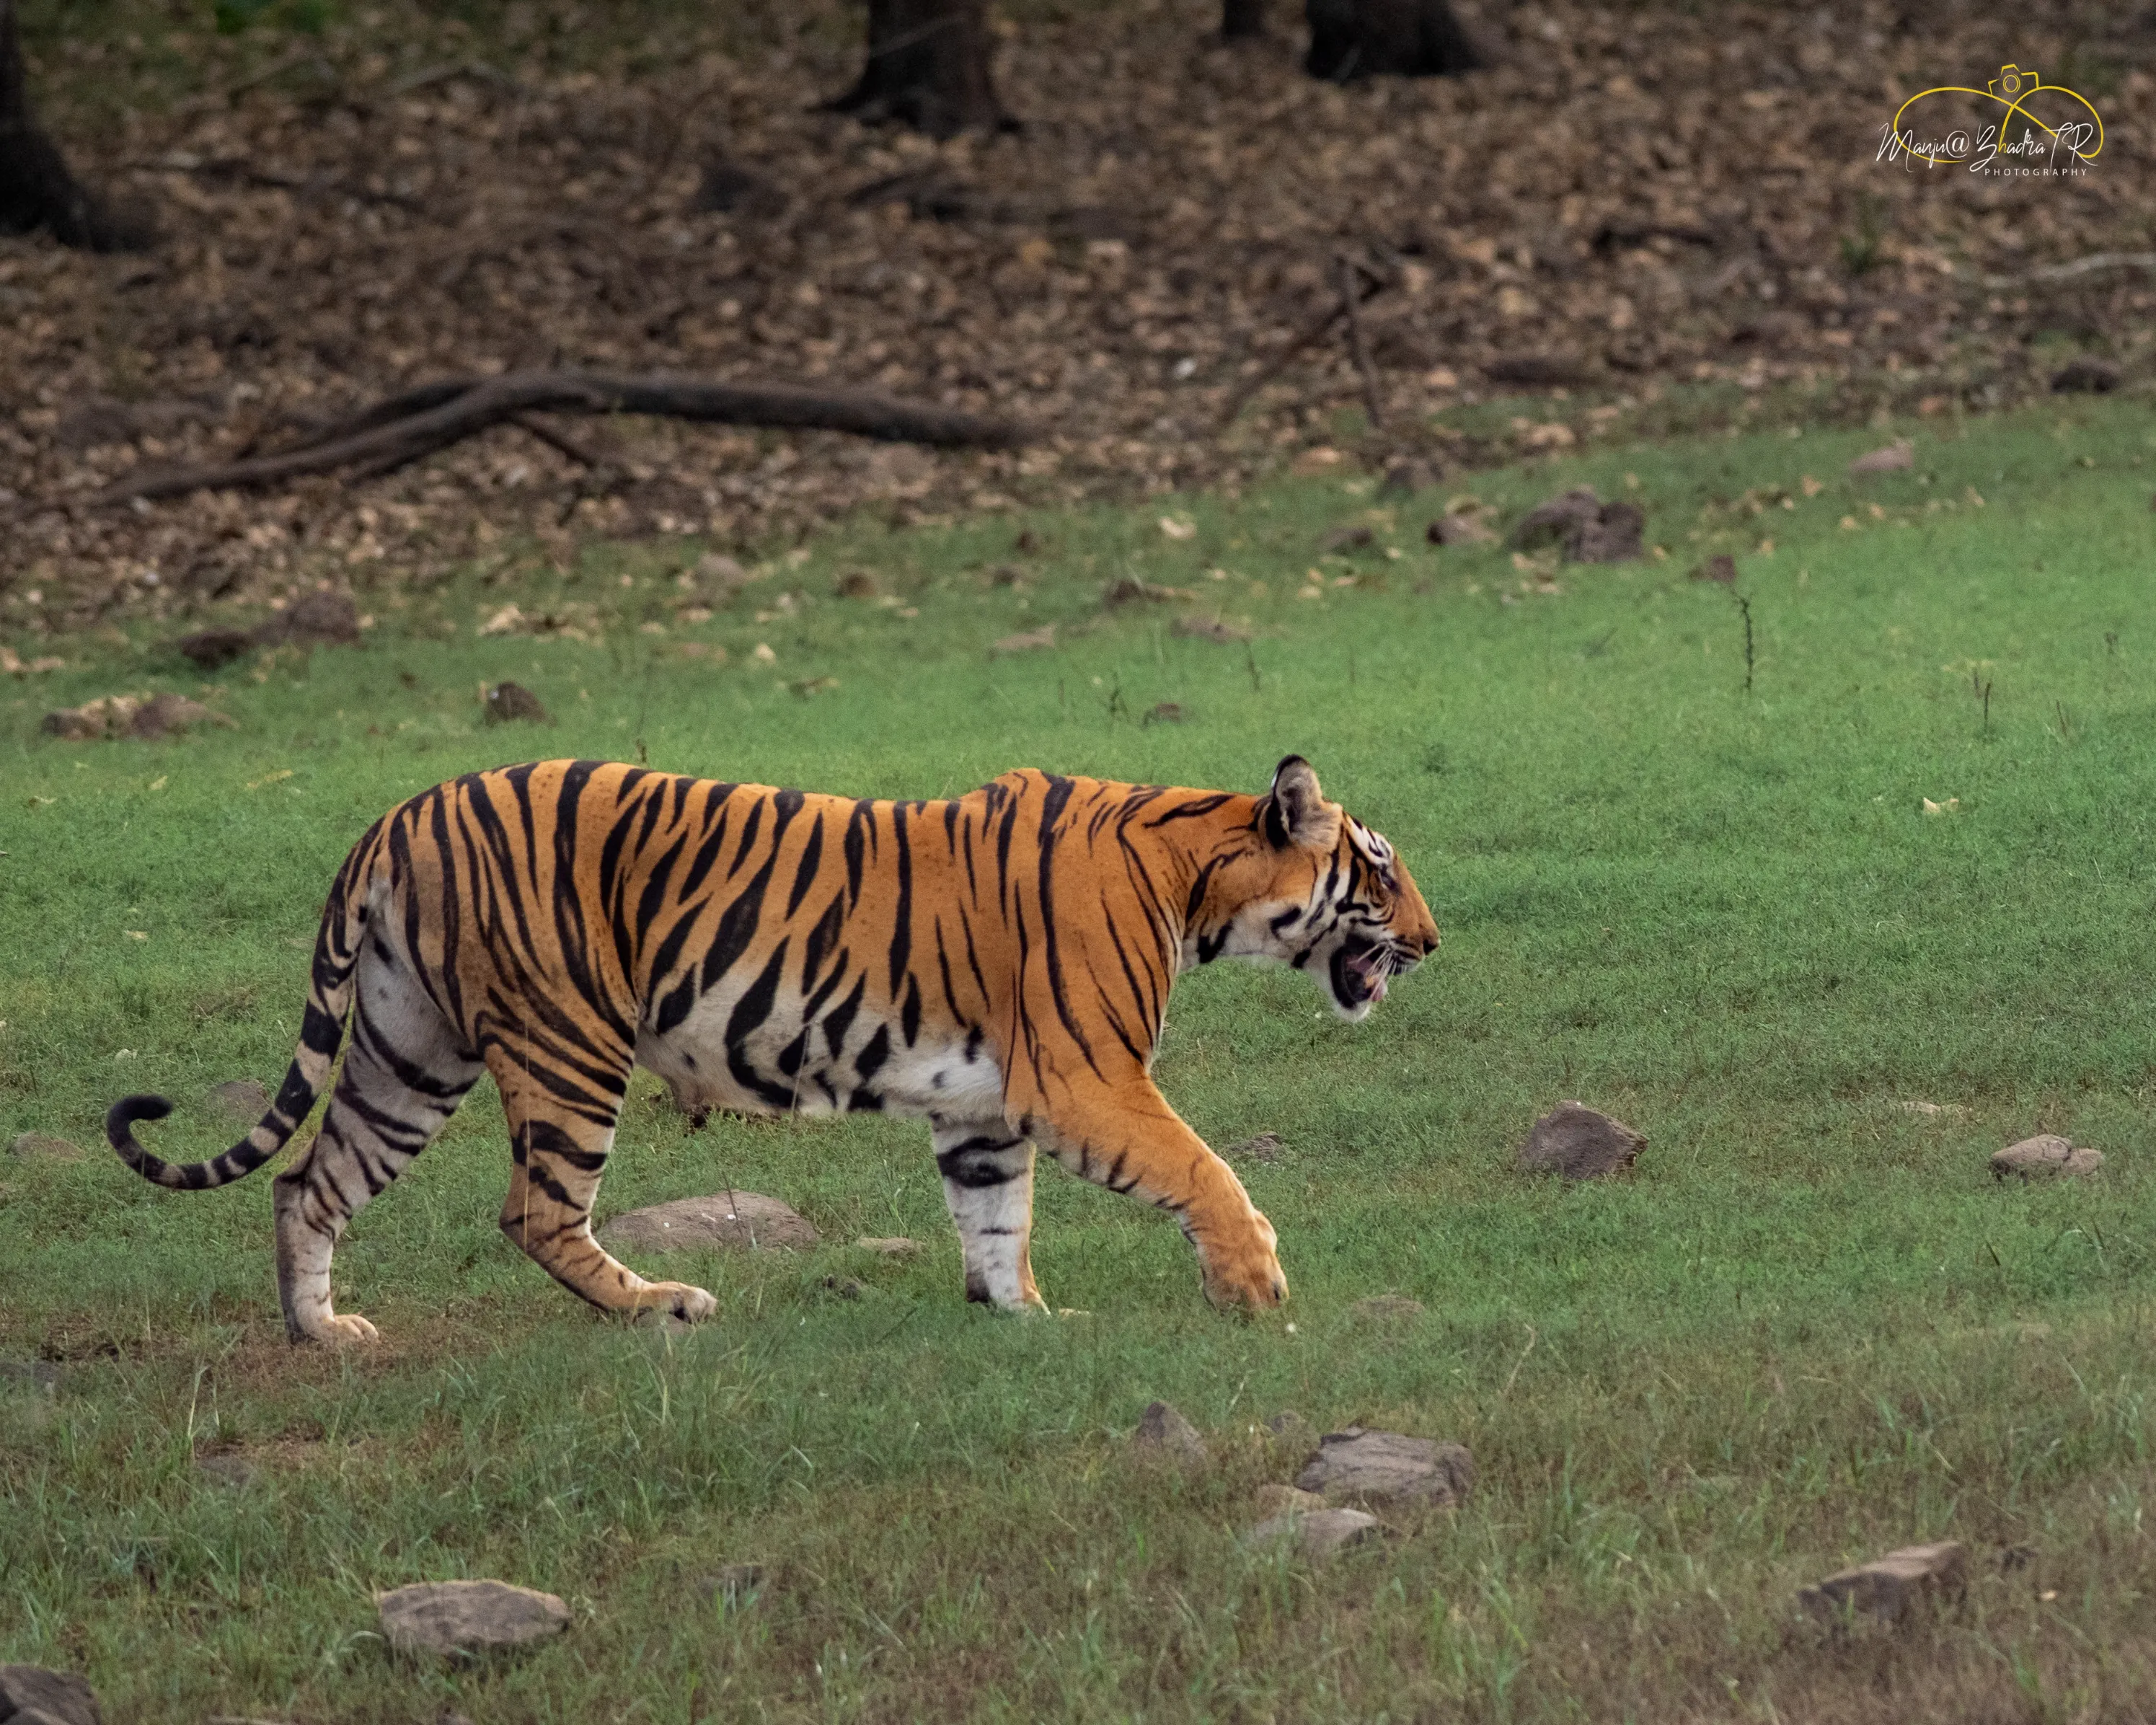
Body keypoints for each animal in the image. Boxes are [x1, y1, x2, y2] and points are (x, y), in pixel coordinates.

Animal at [106, 754, 1438, 1343]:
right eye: (1377, 871)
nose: (1433, 938)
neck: (1188, 871)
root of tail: (394, 814)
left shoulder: (986, 1107)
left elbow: (995, 1216)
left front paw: (1024, 1318)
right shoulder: (1084, 1078)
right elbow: (1204, 1170)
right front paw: (1253, 1286)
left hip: (406, 1049)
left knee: (307, 1181)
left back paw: (322, 1332)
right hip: (568, 1041)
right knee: (535, 1211)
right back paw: (661, 1304)